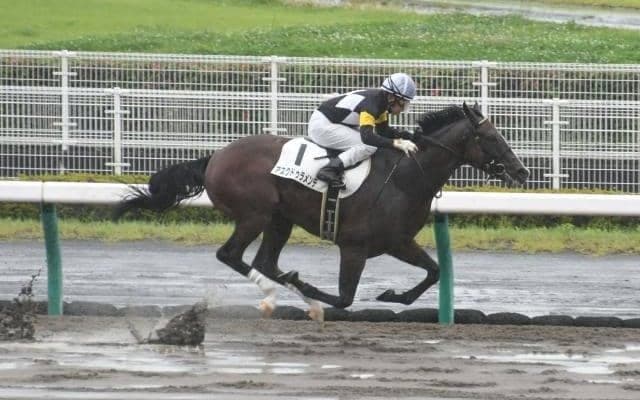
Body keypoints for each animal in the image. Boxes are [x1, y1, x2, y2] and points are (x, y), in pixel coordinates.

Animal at [114, 102, 529, 321]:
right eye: (490, 137)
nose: (522, 171)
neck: (405, 176)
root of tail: (215, 157)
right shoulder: (355, 247)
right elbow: (344, 298)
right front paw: (313, 293)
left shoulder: (397, 241)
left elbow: (435, 271)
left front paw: (392, 296)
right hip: (254, 214)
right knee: (231, 255)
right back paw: (277, 292)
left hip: (279, 218)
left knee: (264, 260)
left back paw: (285, 286)